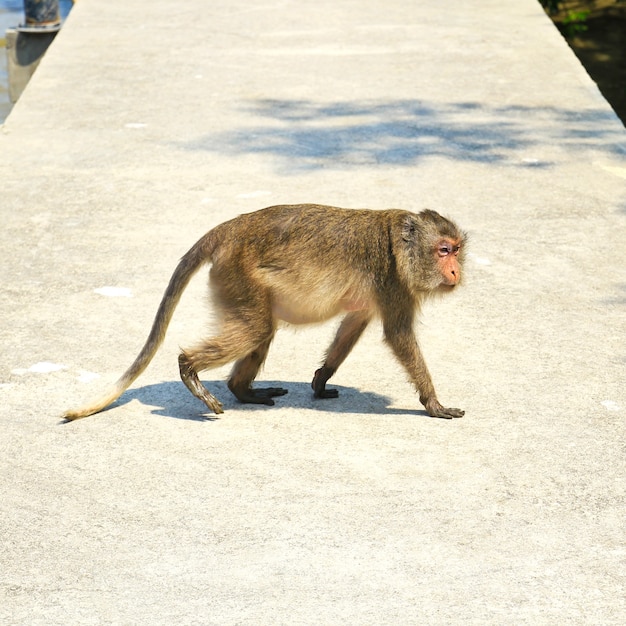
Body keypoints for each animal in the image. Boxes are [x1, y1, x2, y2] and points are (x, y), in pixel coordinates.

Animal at [63, 204, 464, 420]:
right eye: (443, 250)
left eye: (457, 249)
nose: (456, 271)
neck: (400, 243)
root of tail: (227, 230)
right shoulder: (394, 281)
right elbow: (398, 336)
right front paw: (433, 403)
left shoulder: (380, 293)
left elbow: (352, 324)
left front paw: (321, 379)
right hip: (238, 274)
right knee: (256, 329)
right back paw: (189, 368)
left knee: (261, 330)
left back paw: (242, 391)